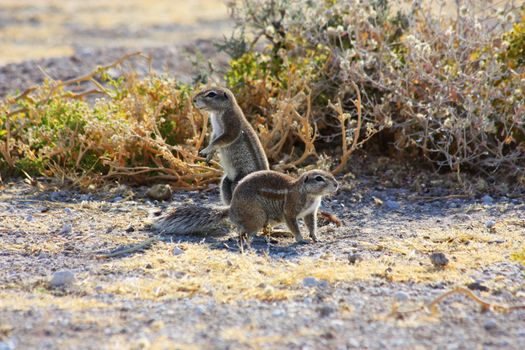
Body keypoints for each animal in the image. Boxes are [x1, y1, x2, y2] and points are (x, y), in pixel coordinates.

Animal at [154, 168, 338, 247]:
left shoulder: (310, 213)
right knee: (244, 232)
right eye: (319, 178)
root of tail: (231, 209)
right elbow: (294, 226)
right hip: (257, 216)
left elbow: (312, 225)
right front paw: (301, 239)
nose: (336, 184)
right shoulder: (290, 211)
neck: (309, 194)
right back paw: (251, 241)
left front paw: (316, 238)